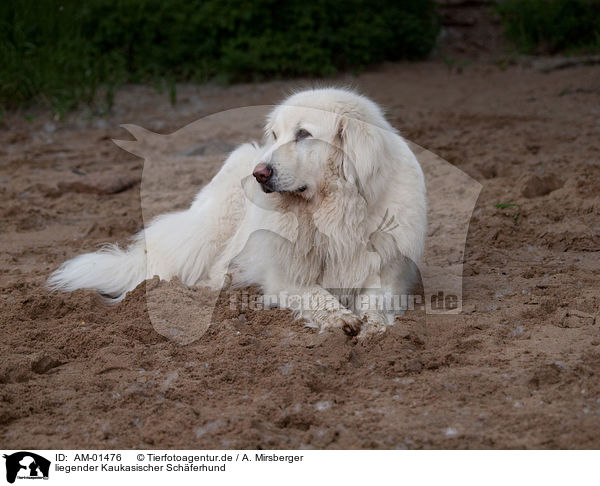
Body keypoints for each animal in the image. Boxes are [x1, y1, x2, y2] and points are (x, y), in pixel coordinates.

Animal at [50, 87, 426, 336]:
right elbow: (316, 295)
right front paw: (340, 318)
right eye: (276, 134)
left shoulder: (388, 272)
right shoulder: (285, 278)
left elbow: (376, 302)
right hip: (211, 228)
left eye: (304, 134)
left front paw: (375, 325)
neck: (331, 212)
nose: (259, 173)